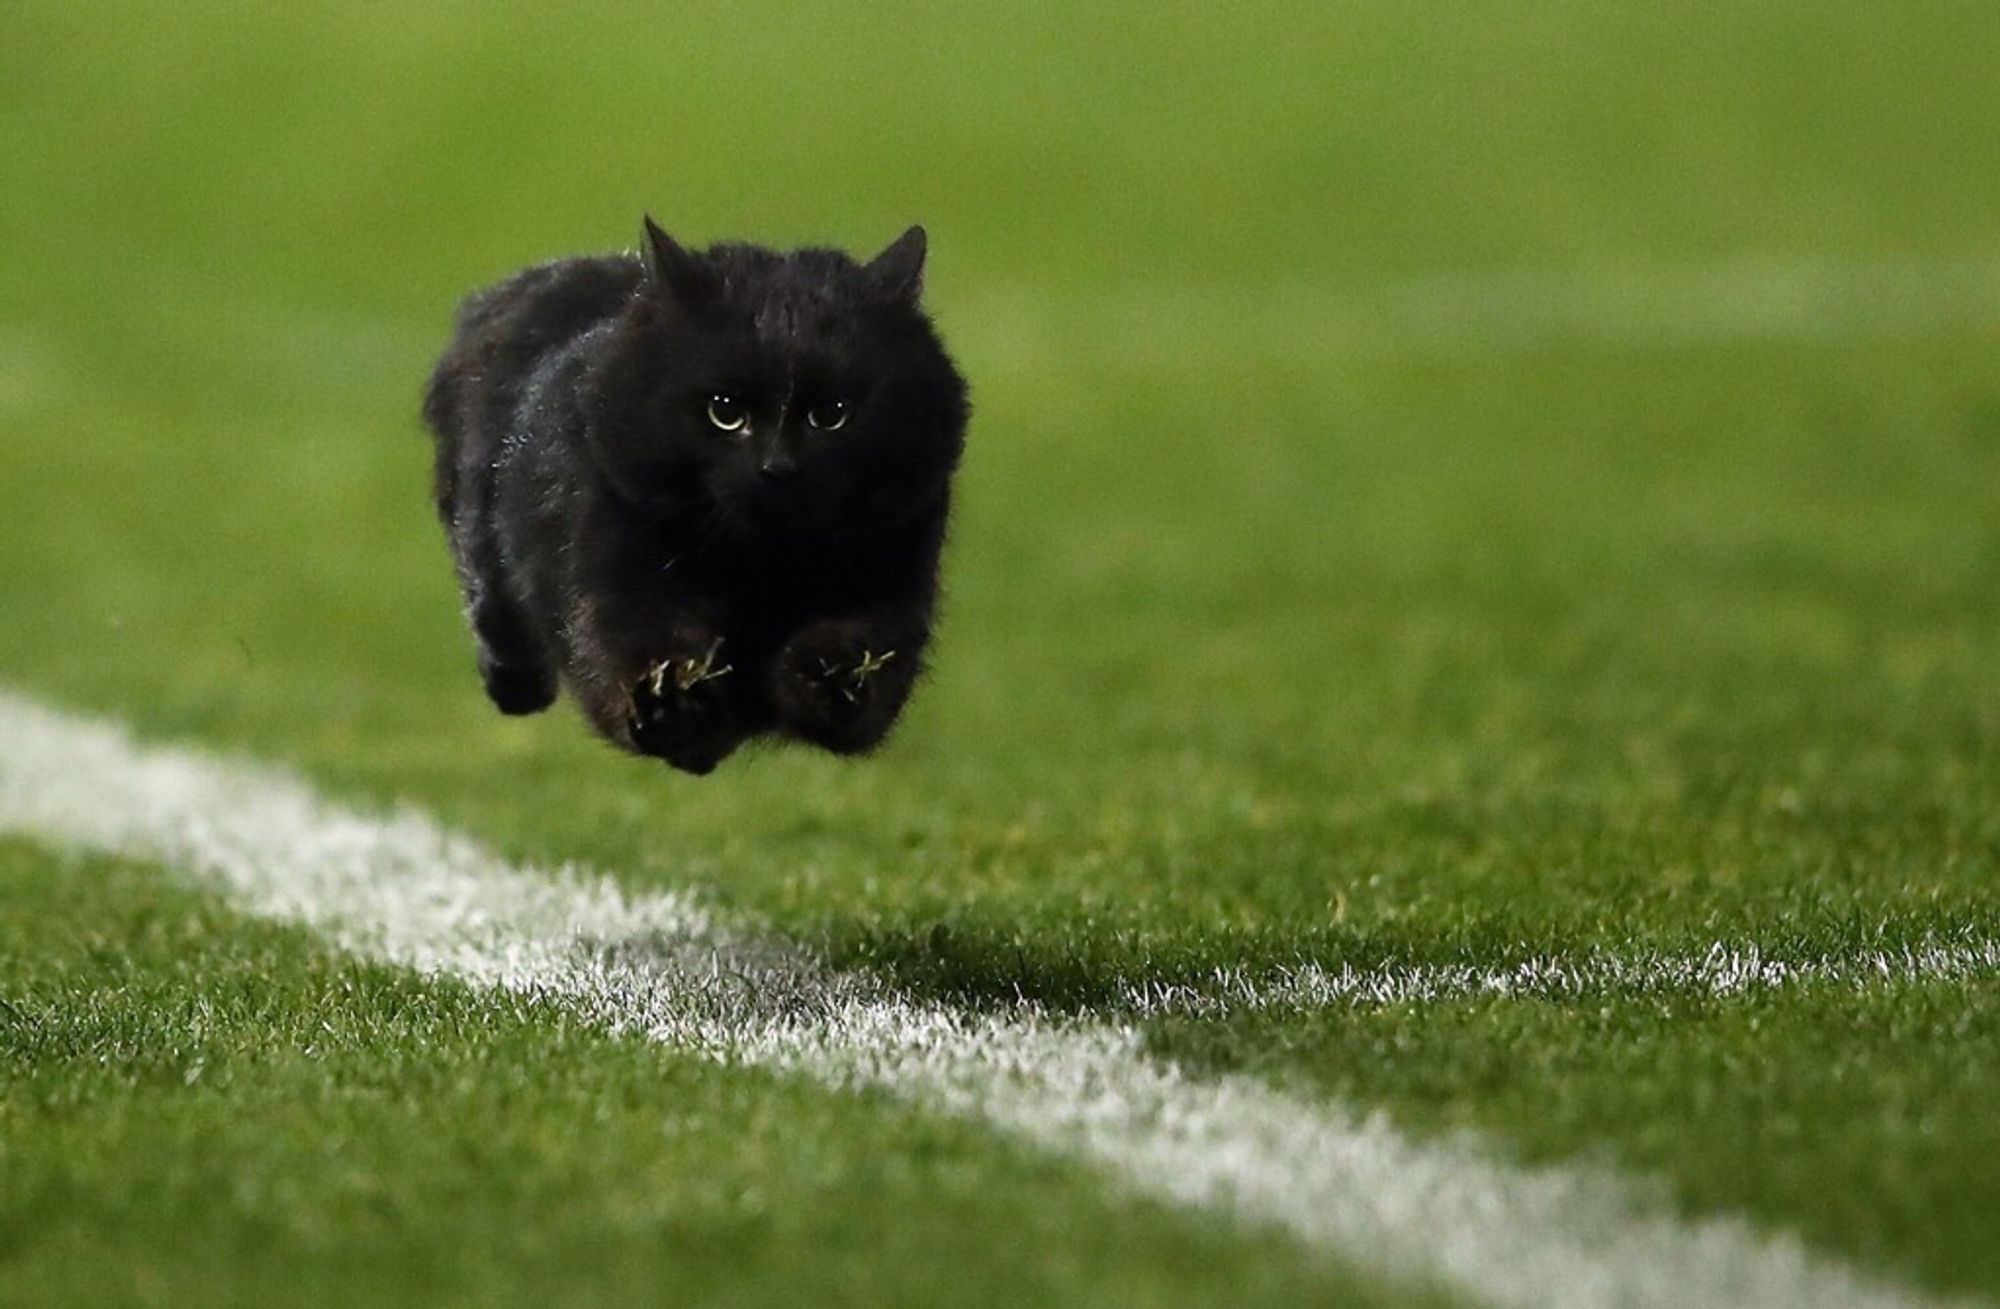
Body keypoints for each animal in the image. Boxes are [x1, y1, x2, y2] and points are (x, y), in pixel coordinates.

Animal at [426, 219, 972, 772]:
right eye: (724, 411)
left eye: (832, 414)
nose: (777, 468)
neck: (760, 569)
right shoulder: (613, 579)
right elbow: (639, 644)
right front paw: (671, 698)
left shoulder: (898, 581)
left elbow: (858, 648)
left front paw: (832, 678)